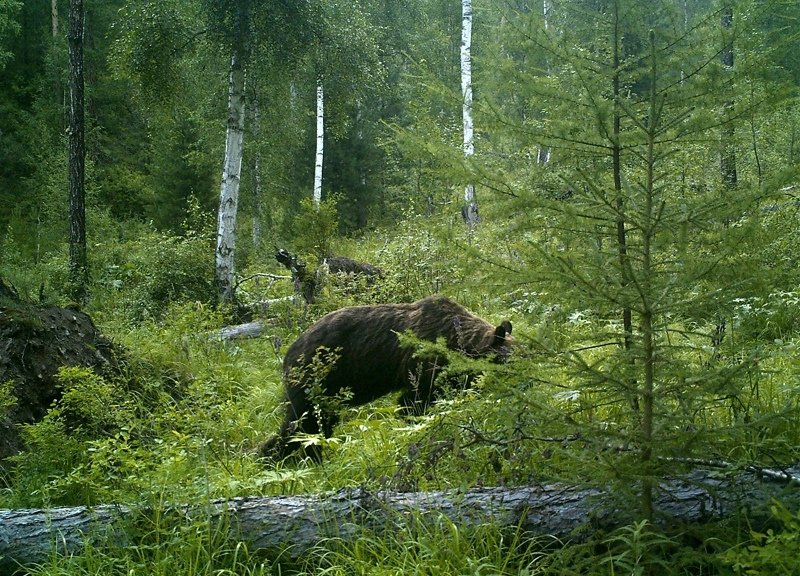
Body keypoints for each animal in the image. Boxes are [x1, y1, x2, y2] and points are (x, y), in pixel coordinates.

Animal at [262, 294, 512, 462]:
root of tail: (289, 350)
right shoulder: (422, 366)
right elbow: (412, 404)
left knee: (317, 425)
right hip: (315, 378)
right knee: (300, 422)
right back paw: (271, 455)